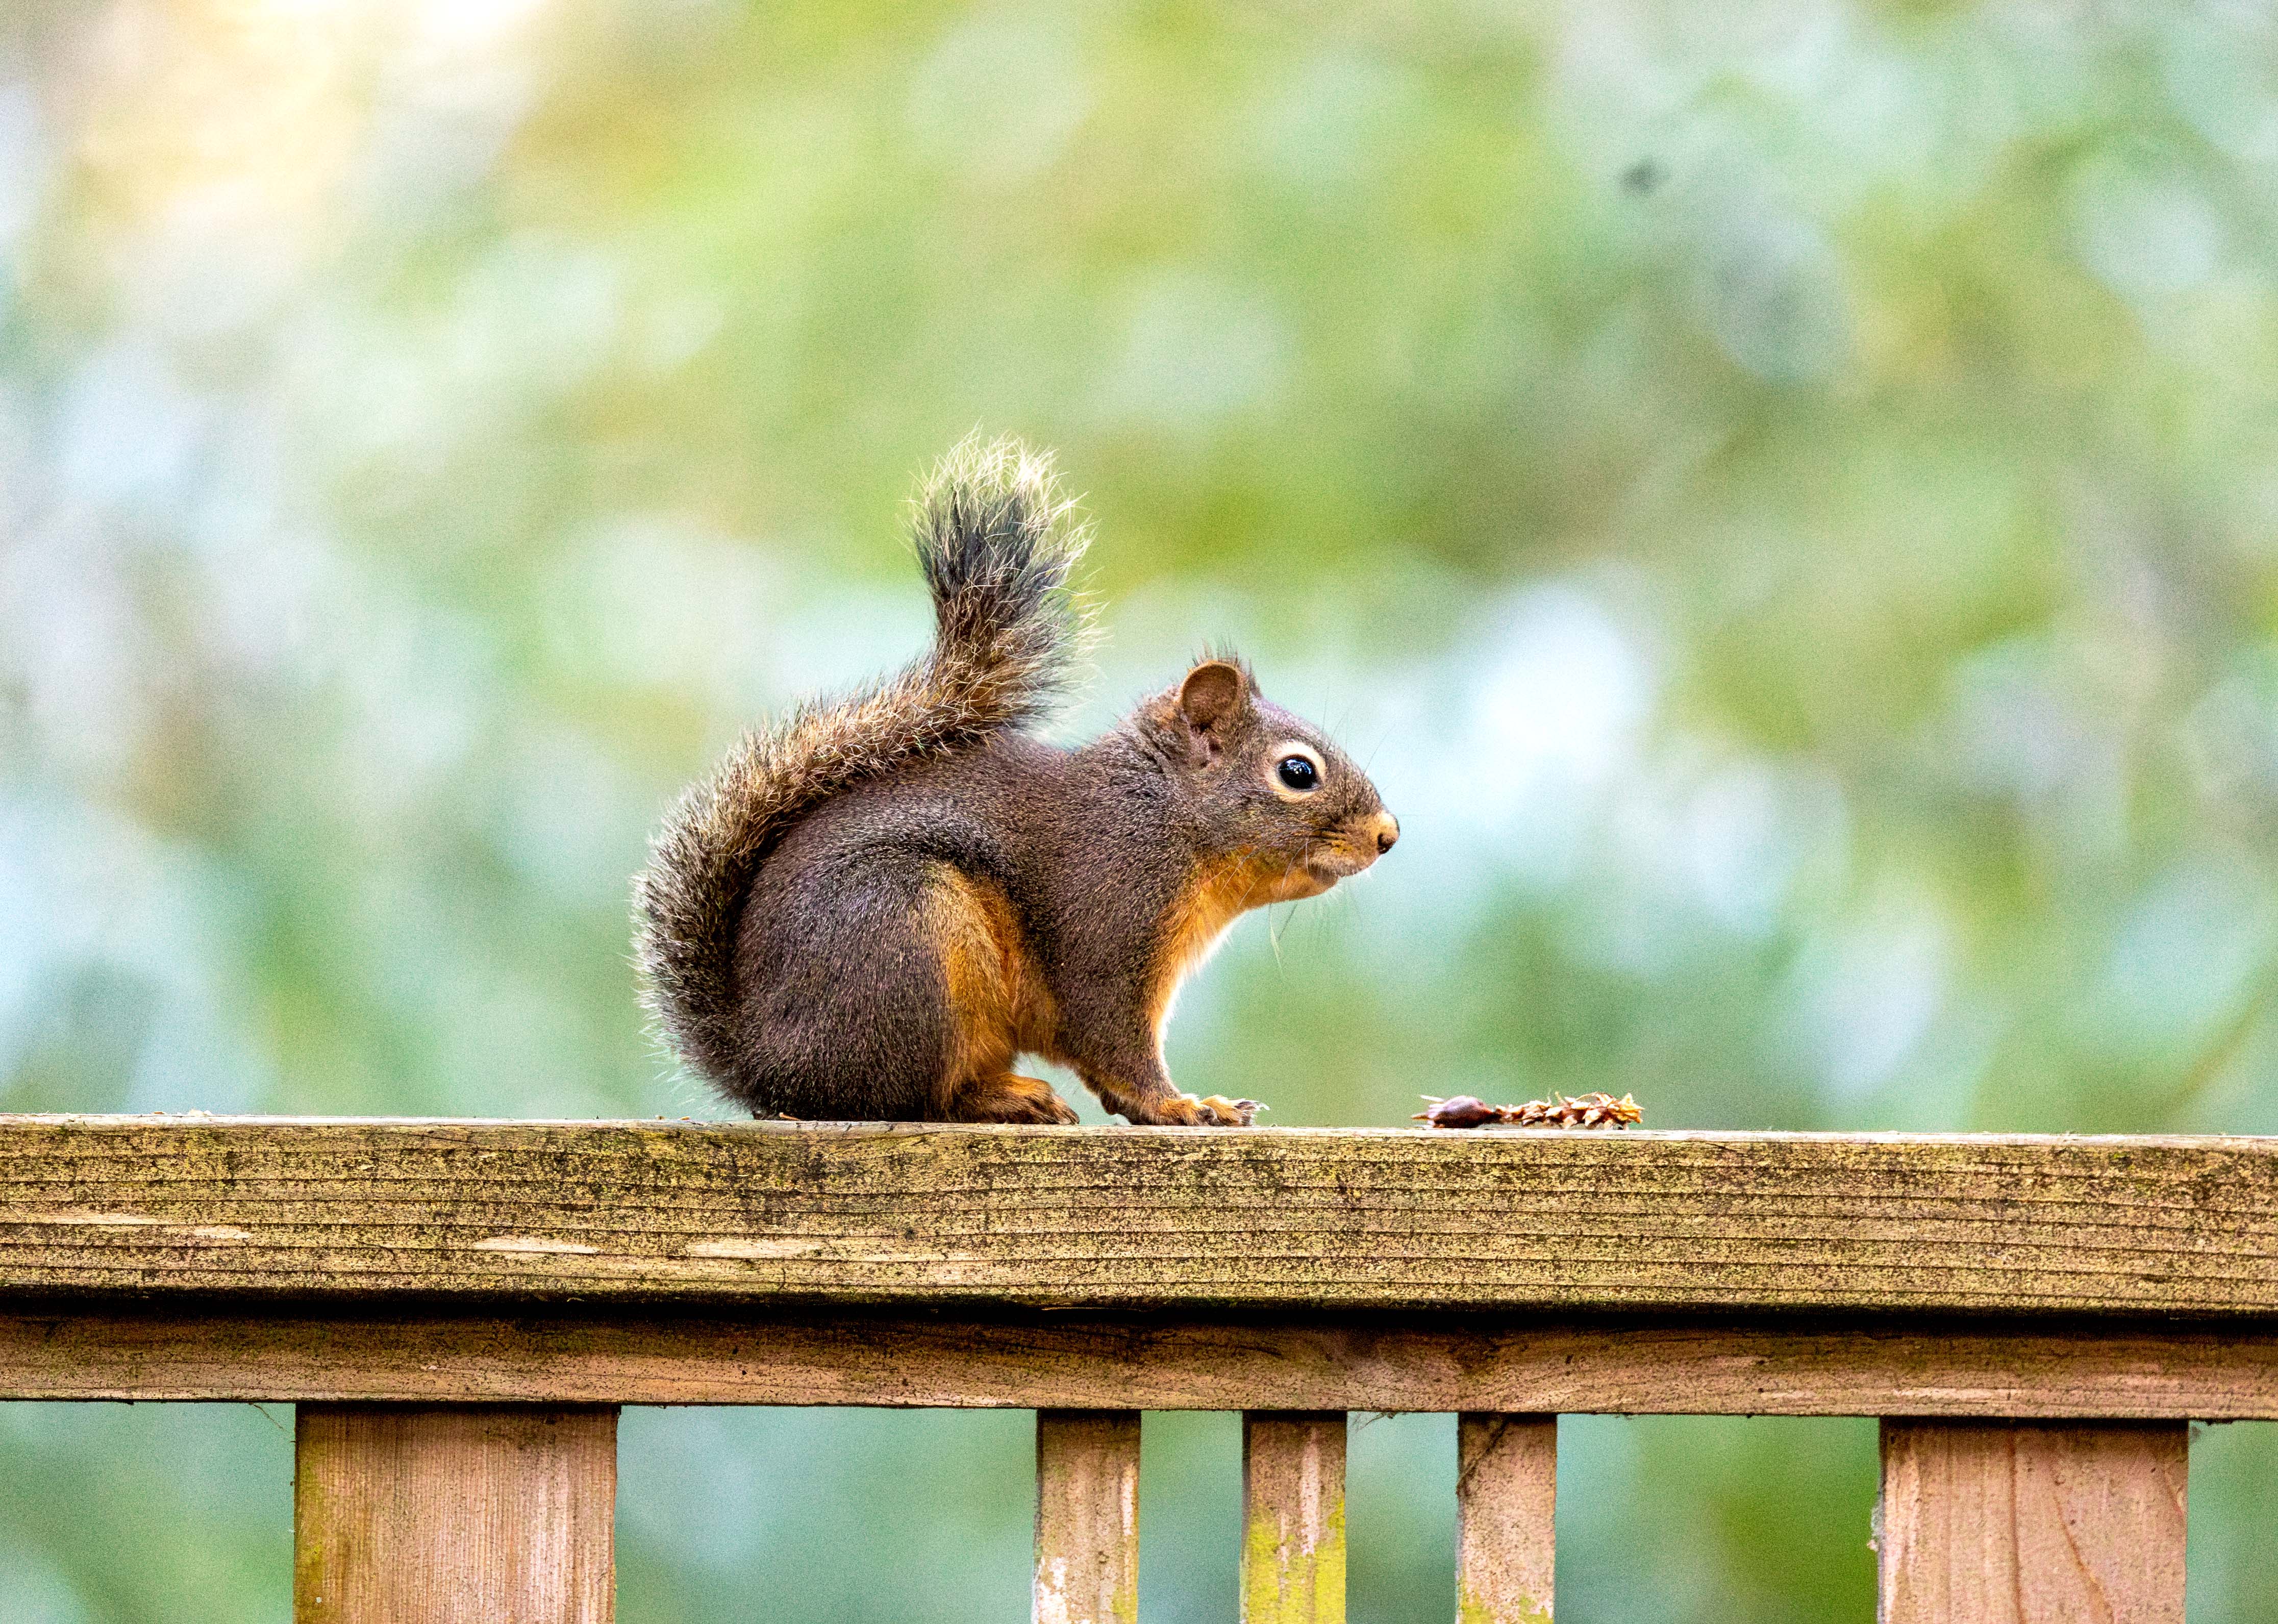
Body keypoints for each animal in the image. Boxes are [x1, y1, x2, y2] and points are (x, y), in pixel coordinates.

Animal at [633, 437, 1394, 1120]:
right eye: (1297, 772)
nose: (1387, 835)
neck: (1165, 818)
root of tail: (763, 1061)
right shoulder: (1108, 925)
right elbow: (1114, 1041)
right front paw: (1182, 1105)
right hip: (907, 938)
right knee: (911, 1097)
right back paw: (1001, 1096)